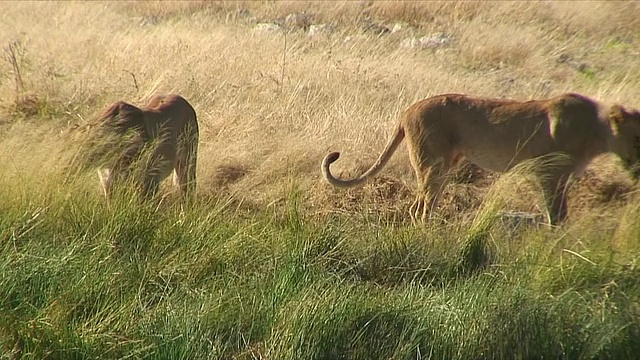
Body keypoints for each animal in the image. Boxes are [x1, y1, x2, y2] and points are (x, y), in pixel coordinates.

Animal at [322, 91, 640, 224]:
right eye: (638, 139)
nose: (637, 168)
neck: (597, 132)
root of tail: (407, 110)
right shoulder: (548, 174)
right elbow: (555, 215)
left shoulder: (563, 178)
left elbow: (562, 214)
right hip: (433, 166)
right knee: (420, 209)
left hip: (444, 167)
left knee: (419, 206)